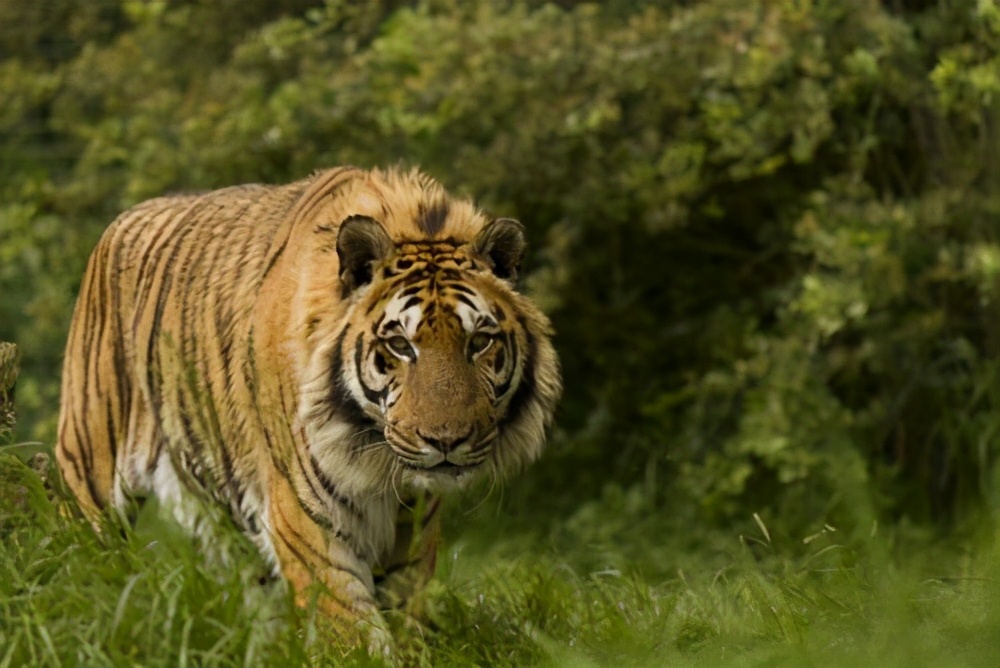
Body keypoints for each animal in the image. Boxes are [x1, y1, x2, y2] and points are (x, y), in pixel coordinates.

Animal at [56, 166, 564, 648]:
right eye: (401, 345)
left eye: (479, 342)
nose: (446, 441)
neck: (380, 466)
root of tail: (122, 219)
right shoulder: (307, 525)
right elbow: (354, 634)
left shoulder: (413, 536)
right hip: (91, 478)